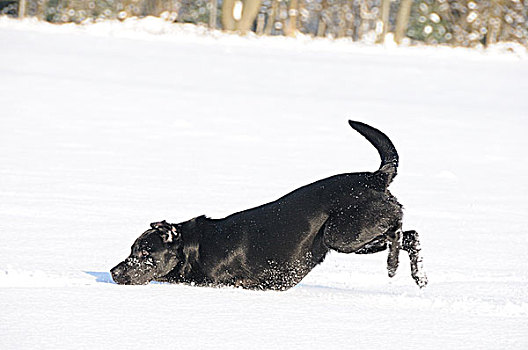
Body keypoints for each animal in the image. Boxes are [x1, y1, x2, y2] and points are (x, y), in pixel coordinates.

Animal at [112, 120, 428, 290]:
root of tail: (376, 177)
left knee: (398, 232)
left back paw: (393, 266)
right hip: (351, 238)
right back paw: (419, 277)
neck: (196, 247)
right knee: (411, 235)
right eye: (131, 251)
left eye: (143, 253)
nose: (114, 272)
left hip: (343, 233)